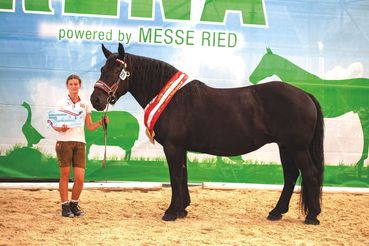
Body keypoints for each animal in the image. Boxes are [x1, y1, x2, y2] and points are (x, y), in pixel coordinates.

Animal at [90, 43, 324, 225]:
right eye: (102, 68)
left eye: (116, 71)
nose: (96, 100)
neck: (174, 99)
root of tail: (306, 95)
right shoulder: (180, 147)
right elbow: (183, 175)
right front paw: (182, 209)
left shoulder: (173, 146)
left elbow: (175, 177)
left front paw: (171, 212)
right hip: (285, 147)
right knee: (291, 175)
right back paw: (276, 212)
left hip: (297, 147)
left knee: (310, 174)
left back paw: (312, 216)